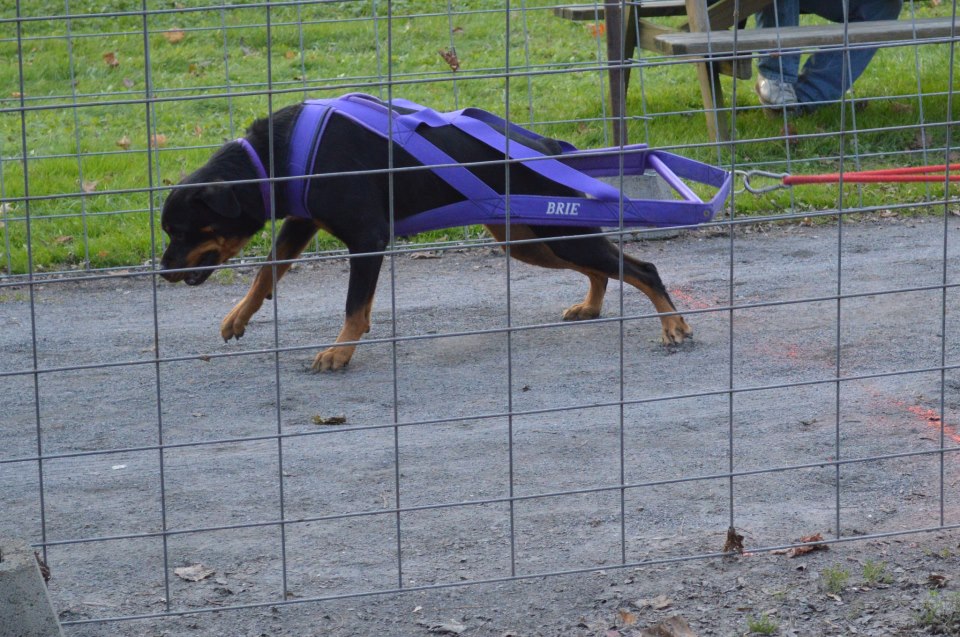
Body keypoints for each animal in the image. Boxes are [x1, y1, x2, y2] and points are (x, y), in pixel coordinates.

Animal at [161, 97, 692, 370]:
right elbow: (267, 272)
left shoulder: (368, 238)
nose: (164, 272)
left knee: (642, 268)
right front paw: (239, 316)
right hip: (527, 237)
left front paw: (340, 351)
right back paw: (592, 305)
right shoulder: (301, 223)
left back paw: (672, 325)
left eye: (183, 231)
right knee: (604, 269)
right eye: (168, 232)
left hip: (550, 233)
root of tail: (548, 146)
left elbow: (354, 306)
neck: (277, 153)